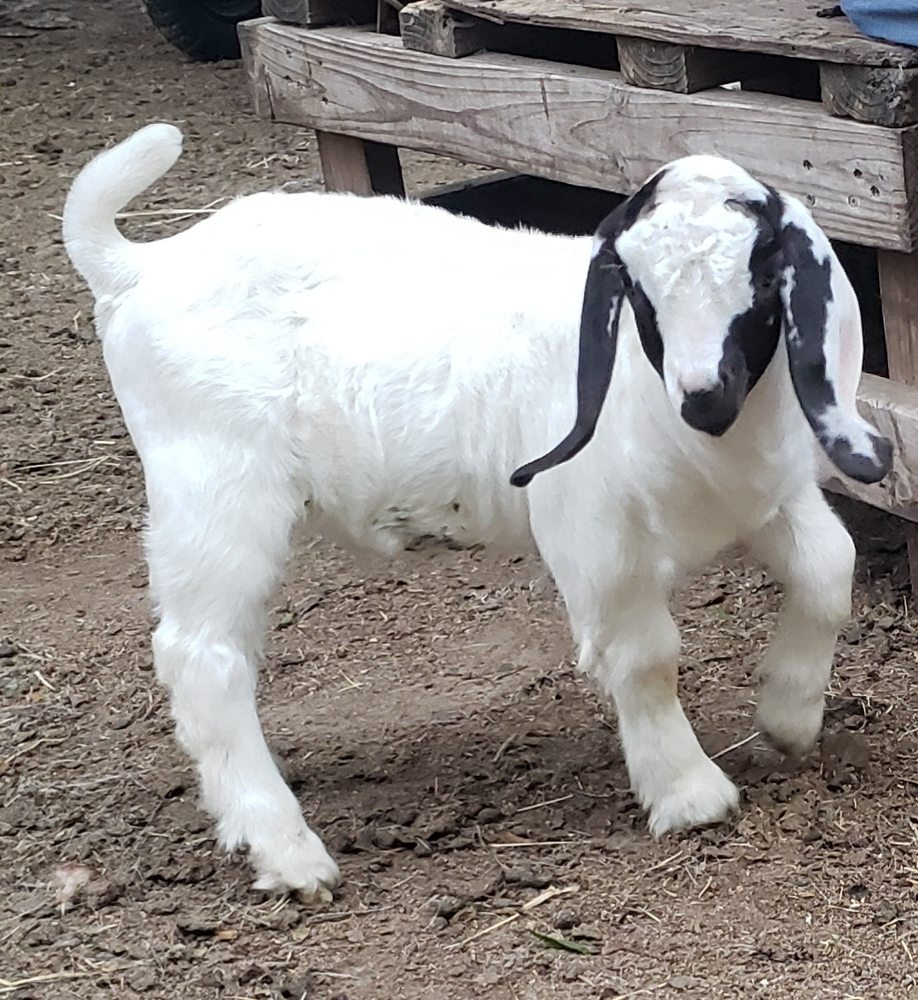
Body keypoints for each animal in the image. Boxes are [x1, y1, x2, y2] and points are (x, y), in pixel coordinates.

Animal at [63, 123, 891, 899]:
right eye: (639, 290)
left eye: (763, 273)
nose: (703, 394)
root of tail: (142, 265)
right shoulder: (592, 533)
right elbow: (645, 656)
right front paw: (689, 794)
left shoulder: (763, 498)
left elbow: (830, 570)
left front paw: (789, 717)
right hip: (215, 486)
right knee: (202, 655)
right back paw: (286, 848)